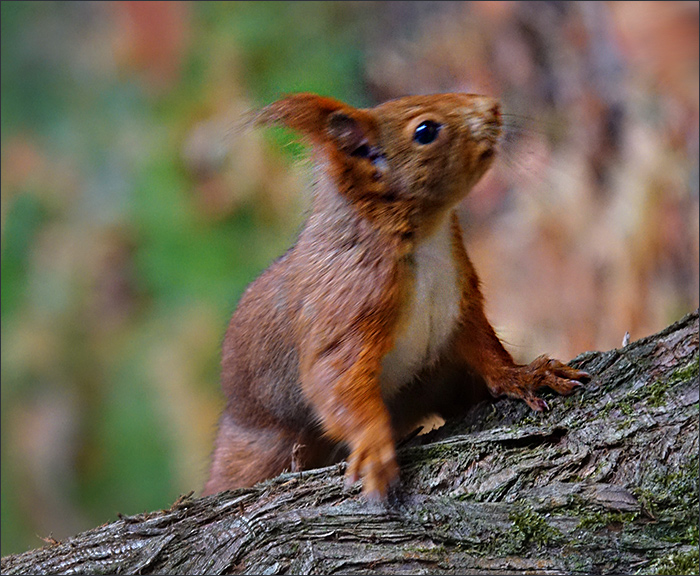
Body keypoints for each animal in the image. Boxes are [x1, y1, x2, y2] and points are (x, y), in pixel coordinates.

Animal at [202, 92, 590, 500]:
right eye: (425, 130)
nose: (491, 107)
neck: (425, 237)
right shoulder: (347, 301)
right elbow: (334, 378)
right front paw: (373, 445)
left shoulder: (459, 300)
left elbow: (483, 346)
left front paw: (523, 375)